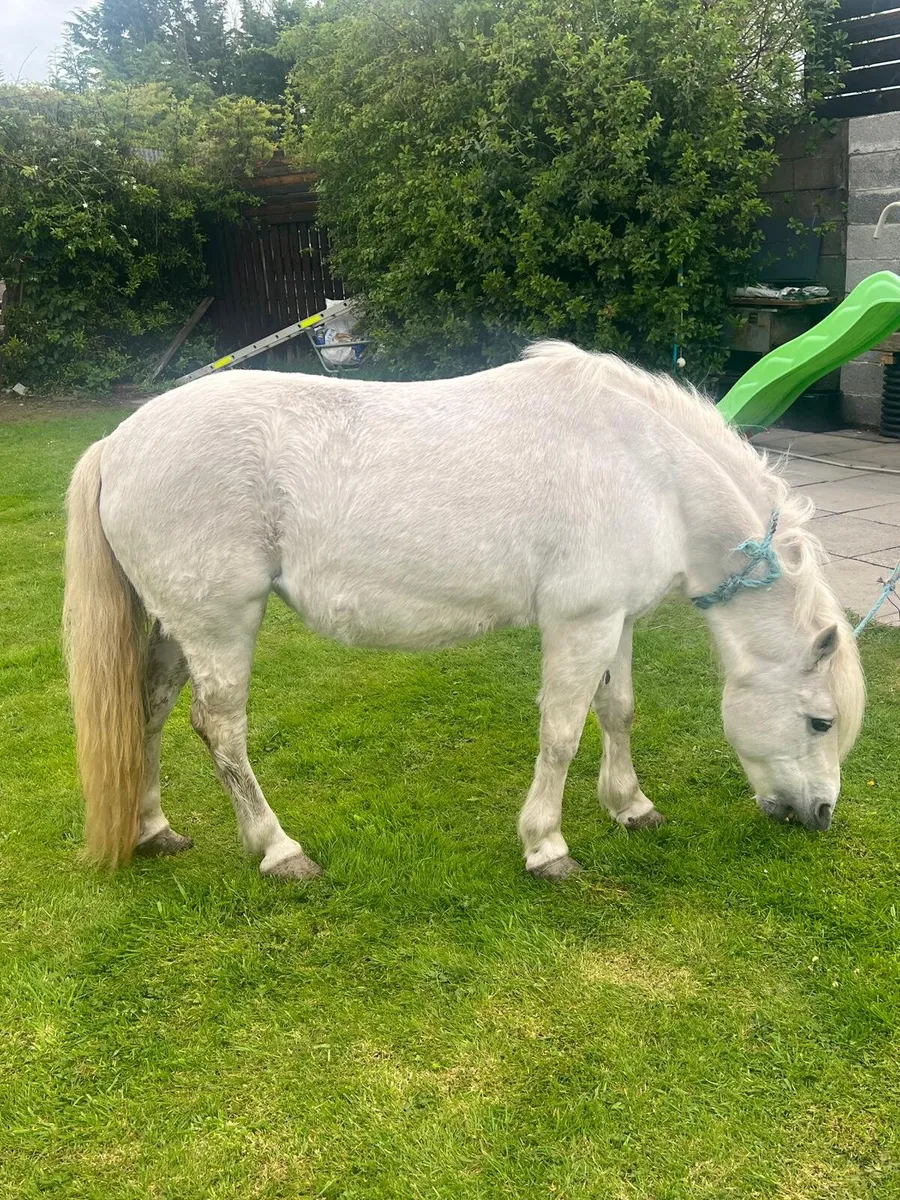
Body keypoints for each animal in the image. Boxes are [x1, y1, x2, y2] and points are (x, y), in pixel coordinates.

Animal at [63, 342, 866, 881]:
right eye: (820, 721)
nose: (820, 816)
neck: (648, 468)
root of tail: (118, 442)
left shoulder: (616, 620)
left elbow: (618, 711)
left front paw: (631, 806)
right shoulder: (580, 623)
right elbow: (561, 734)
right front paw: (547, 846)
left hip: (177, 627)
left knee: (149, 708)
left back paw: (153, 827)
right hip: (221, 625)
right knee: (221, 728)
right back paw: (278, 849)